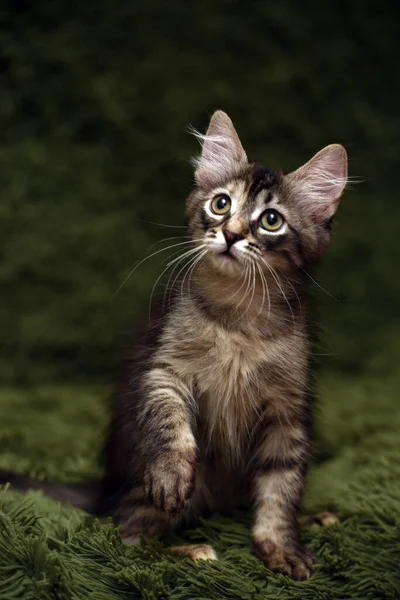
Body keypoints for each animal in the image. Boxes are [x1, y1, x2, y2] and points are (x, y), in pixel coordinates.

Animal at [0, 110, 346, 580]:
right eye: (221, 204)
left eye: (271, 219)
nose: (231, 235)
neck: (238, 317)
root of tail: (105, 488)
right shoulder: (164, 369)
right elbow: (170, 426)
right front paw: (171, 473)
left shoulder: (288, 410)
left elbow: (280, 489)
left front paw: (281, 546)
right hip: (142, 489)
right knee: (123, 538)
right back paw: (189, 551)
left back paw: (312, 517)